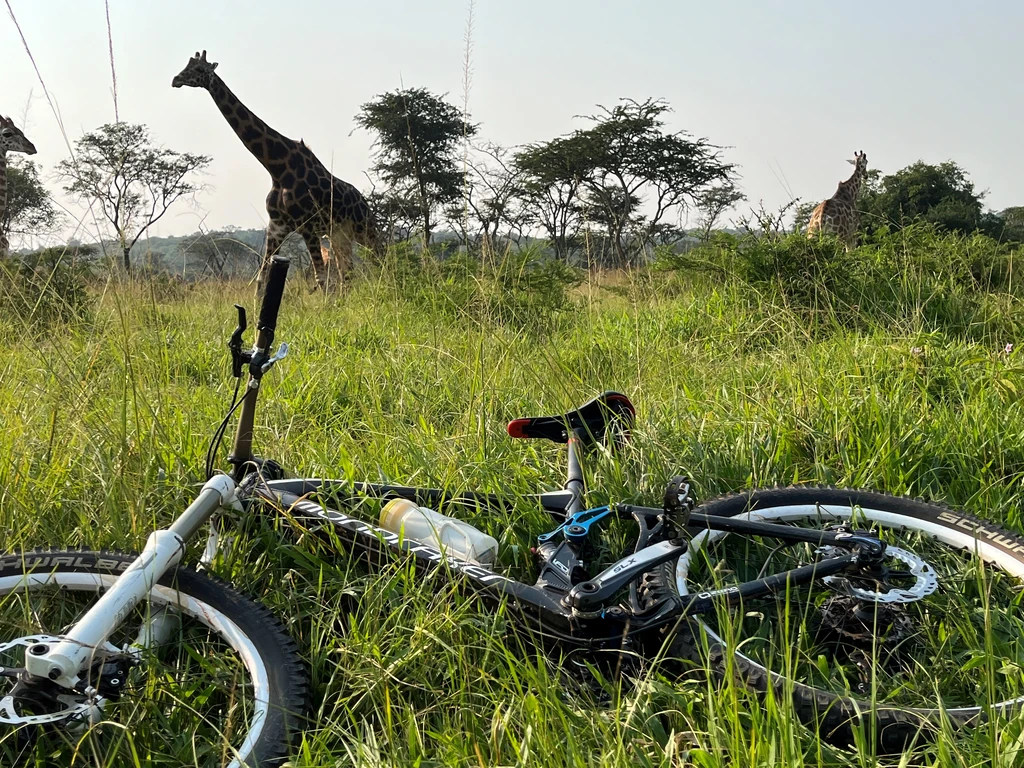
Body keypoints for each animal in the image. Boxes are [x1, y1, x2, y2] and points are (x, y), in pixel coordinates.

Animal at [172, 50, 380, 290]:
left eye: (199, 69)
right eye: (187, 65)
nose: (175, 80)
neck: (278, 168)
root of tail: (363, 201)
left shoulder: (307, 226)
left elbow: (321, 280)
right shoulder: (277, 227)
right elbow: (260, 280)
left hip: (364, 229)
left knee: (379, 259)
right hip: (338, 235)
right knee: (347, 273)